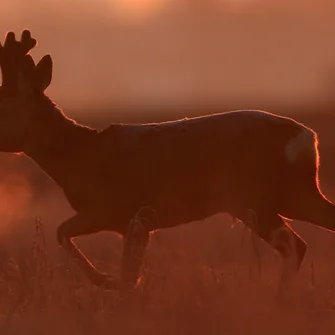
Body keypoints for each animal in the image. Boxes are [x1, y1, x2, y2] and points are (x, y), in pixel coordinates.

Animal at [0, 28, 335, 296]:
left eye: (3, 102)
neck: (78, 155)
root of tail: (308, 139)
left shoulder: (115, 208)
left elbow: (62, 233)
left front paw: (104, 280)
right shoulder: (137, 222)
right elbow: (128, 271)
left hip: (254, 197)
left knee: (295, 246)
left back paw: (279, 301)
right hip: (293, 194)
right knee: (308, 235)